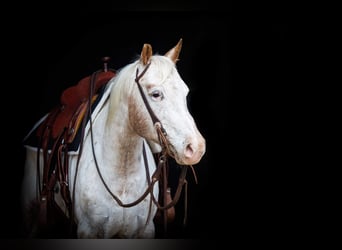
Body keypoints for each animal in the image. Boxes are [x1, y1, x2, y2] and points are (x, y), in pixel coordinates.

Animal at [21, 39, 206, 238]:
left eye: (185, 93)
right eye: (156, 94)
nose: (196, 148)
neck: (121, 174)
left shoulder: (144, 230)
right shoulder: (88, 231)